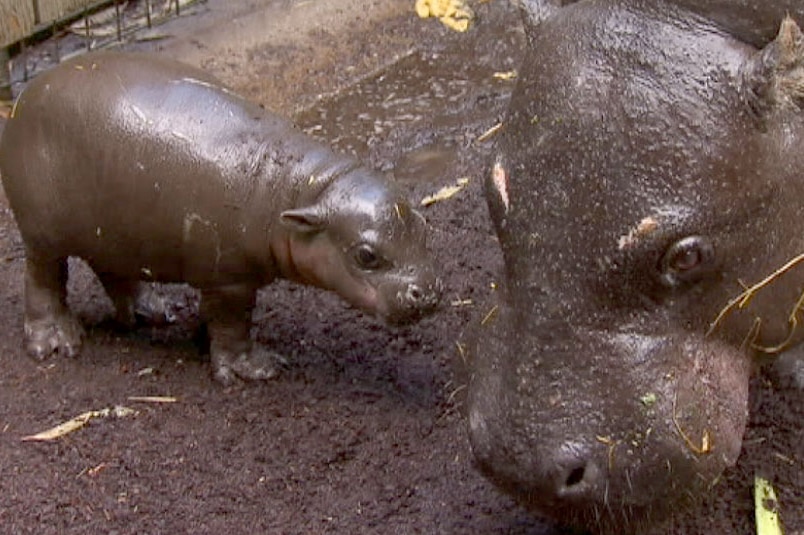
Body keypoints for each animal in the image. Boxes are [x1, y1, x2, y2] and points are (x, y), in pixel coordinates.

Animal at [0, 51, 440, 386]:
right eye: (366, 255)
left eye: (423, 226)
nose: (431, 290)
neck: (306, 188)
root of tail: (27, 94)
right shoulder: (230, 278)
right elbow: (233, 324)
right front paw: (254, 369)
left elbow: (216, 319)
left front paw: (199, 337)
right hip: (43, 233)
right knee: (43, 278)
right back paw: (57, 342)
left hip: (113, 229)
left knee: (113, 271)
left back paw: (154, 313)